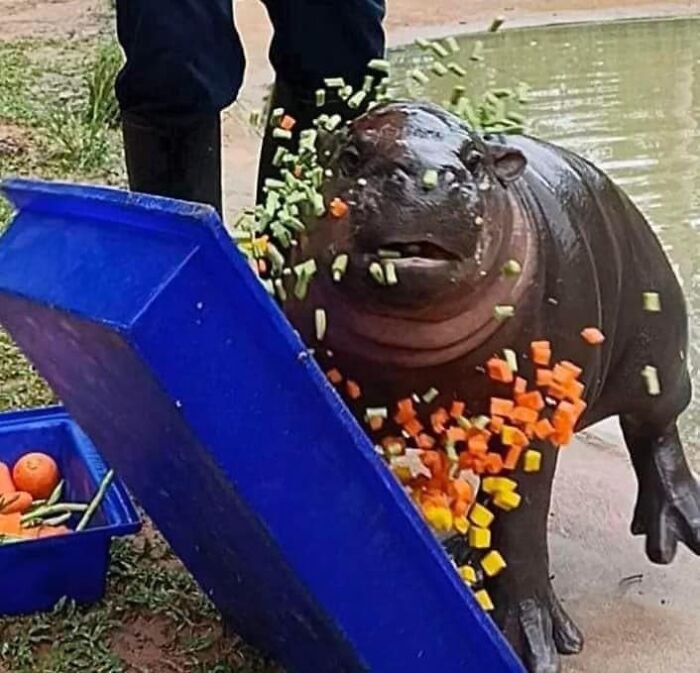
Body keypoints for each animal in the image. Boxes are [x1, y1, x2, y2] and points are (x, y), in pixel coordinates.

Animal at [282, 101, 700, 672]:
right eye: (350, 154)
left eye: (475, 159)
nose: (424, 176)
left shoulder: (531, 422)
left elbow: (521, 523)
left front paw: (537, 649)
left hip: (660, 347)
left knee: (656, 429)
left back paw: (673, 532)